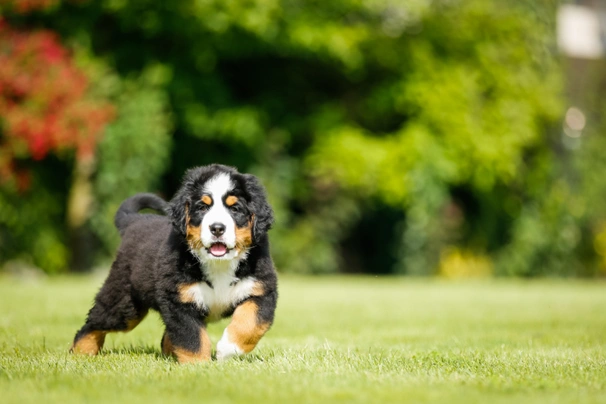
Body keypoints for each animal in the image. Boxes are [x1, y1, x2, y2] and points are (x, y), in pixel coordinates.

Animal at [70, 164, 278, 362]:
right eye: (202, 207)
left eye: (235, 209)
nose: (217, 228)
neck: (218, 264)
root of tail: (134, 221)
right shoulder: (178, 299)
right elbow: (192, 337)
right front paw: (199, 366)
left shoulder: (261, 290)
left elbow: (251, 324)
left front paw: (228, 350)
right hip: (125, 304)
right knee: (94, 323)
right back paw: (80, 353)